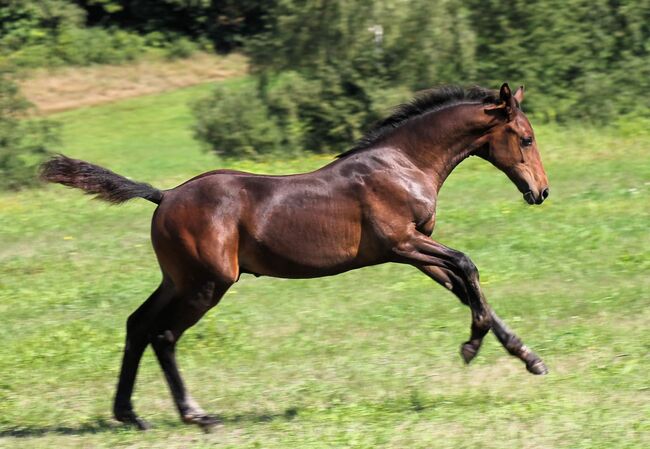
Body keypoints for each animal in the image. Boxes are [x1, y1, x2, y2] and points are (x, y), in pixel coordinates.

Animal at [40, 82, 548, 428]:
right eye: (525, 138)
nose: (541, 192)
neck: (402, 165)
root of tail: (163, 196)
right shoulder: (403, 243)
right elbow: (467, 265)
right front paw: (471, 346)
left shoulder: (415, 254)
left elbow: (465, 288)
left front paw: (527, 357)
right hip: (209, 283)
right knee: (163, 335)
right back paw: (195, 414)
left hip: (179, 278)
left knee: (138, 324)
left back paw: (128, 413)